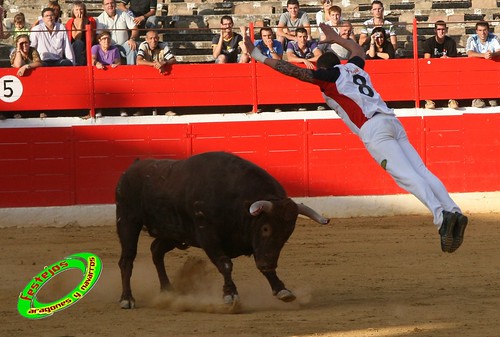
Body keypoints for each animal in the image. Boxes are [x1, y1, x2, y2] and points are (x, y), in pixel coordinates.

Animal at [115, 151, 330, 308]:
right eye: (265, 229)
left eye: (286, 235)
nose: (268, 263)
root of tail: (132, 168)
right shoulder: (207, 235)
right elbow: (225, 263)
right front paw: (231, 295)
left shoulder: (253, 244)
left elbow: (261, 268)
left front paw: (282, 290)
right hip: (127, 221)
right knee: (127, 259)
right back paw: (127, 299)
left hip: (173, 234)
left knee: (156, 251)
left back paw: (168, 291)